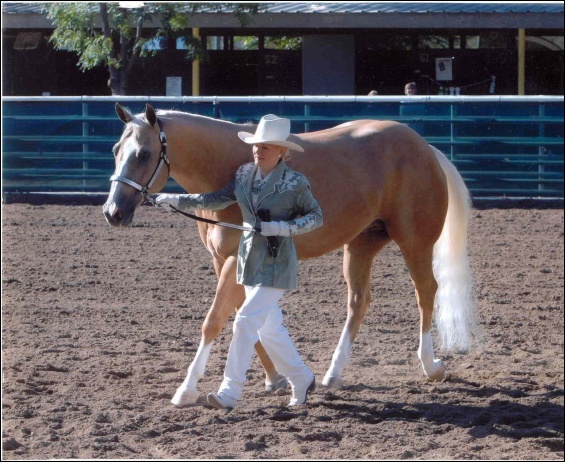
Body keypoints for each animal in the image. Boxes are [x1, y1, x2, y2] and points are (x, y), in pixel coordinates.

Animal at [102, 104, 476, 404]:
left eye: (144, 154)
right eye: (116, 149)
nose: (112, 212)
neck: (225, 165)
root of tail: (425, 147)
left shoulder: (234, 260)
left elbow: (215, 321)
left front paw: (187, 389)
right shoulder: (224, 262)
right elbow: (250, 320)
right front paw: (277, 378)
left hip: (415, 241)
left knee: (426, 292)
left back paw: (431, 366)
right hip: (361, 244)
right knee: (359, 302)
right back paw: (333, 374)